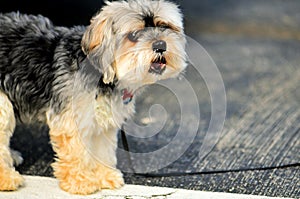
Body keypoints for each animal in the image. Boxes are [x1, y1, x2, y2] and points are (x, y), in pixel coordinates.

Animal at [0, 0, 186, 194]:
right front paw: (80, 181)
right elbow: (75, 152)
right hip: (3, 104)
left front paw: (104, 175)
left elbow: (103, 151)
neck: (102, 76)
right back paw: (7, 178)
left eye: (164, 26)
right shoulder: (71, 120)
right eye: (134, 35)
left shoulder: (103, 121)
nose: (160, 45)